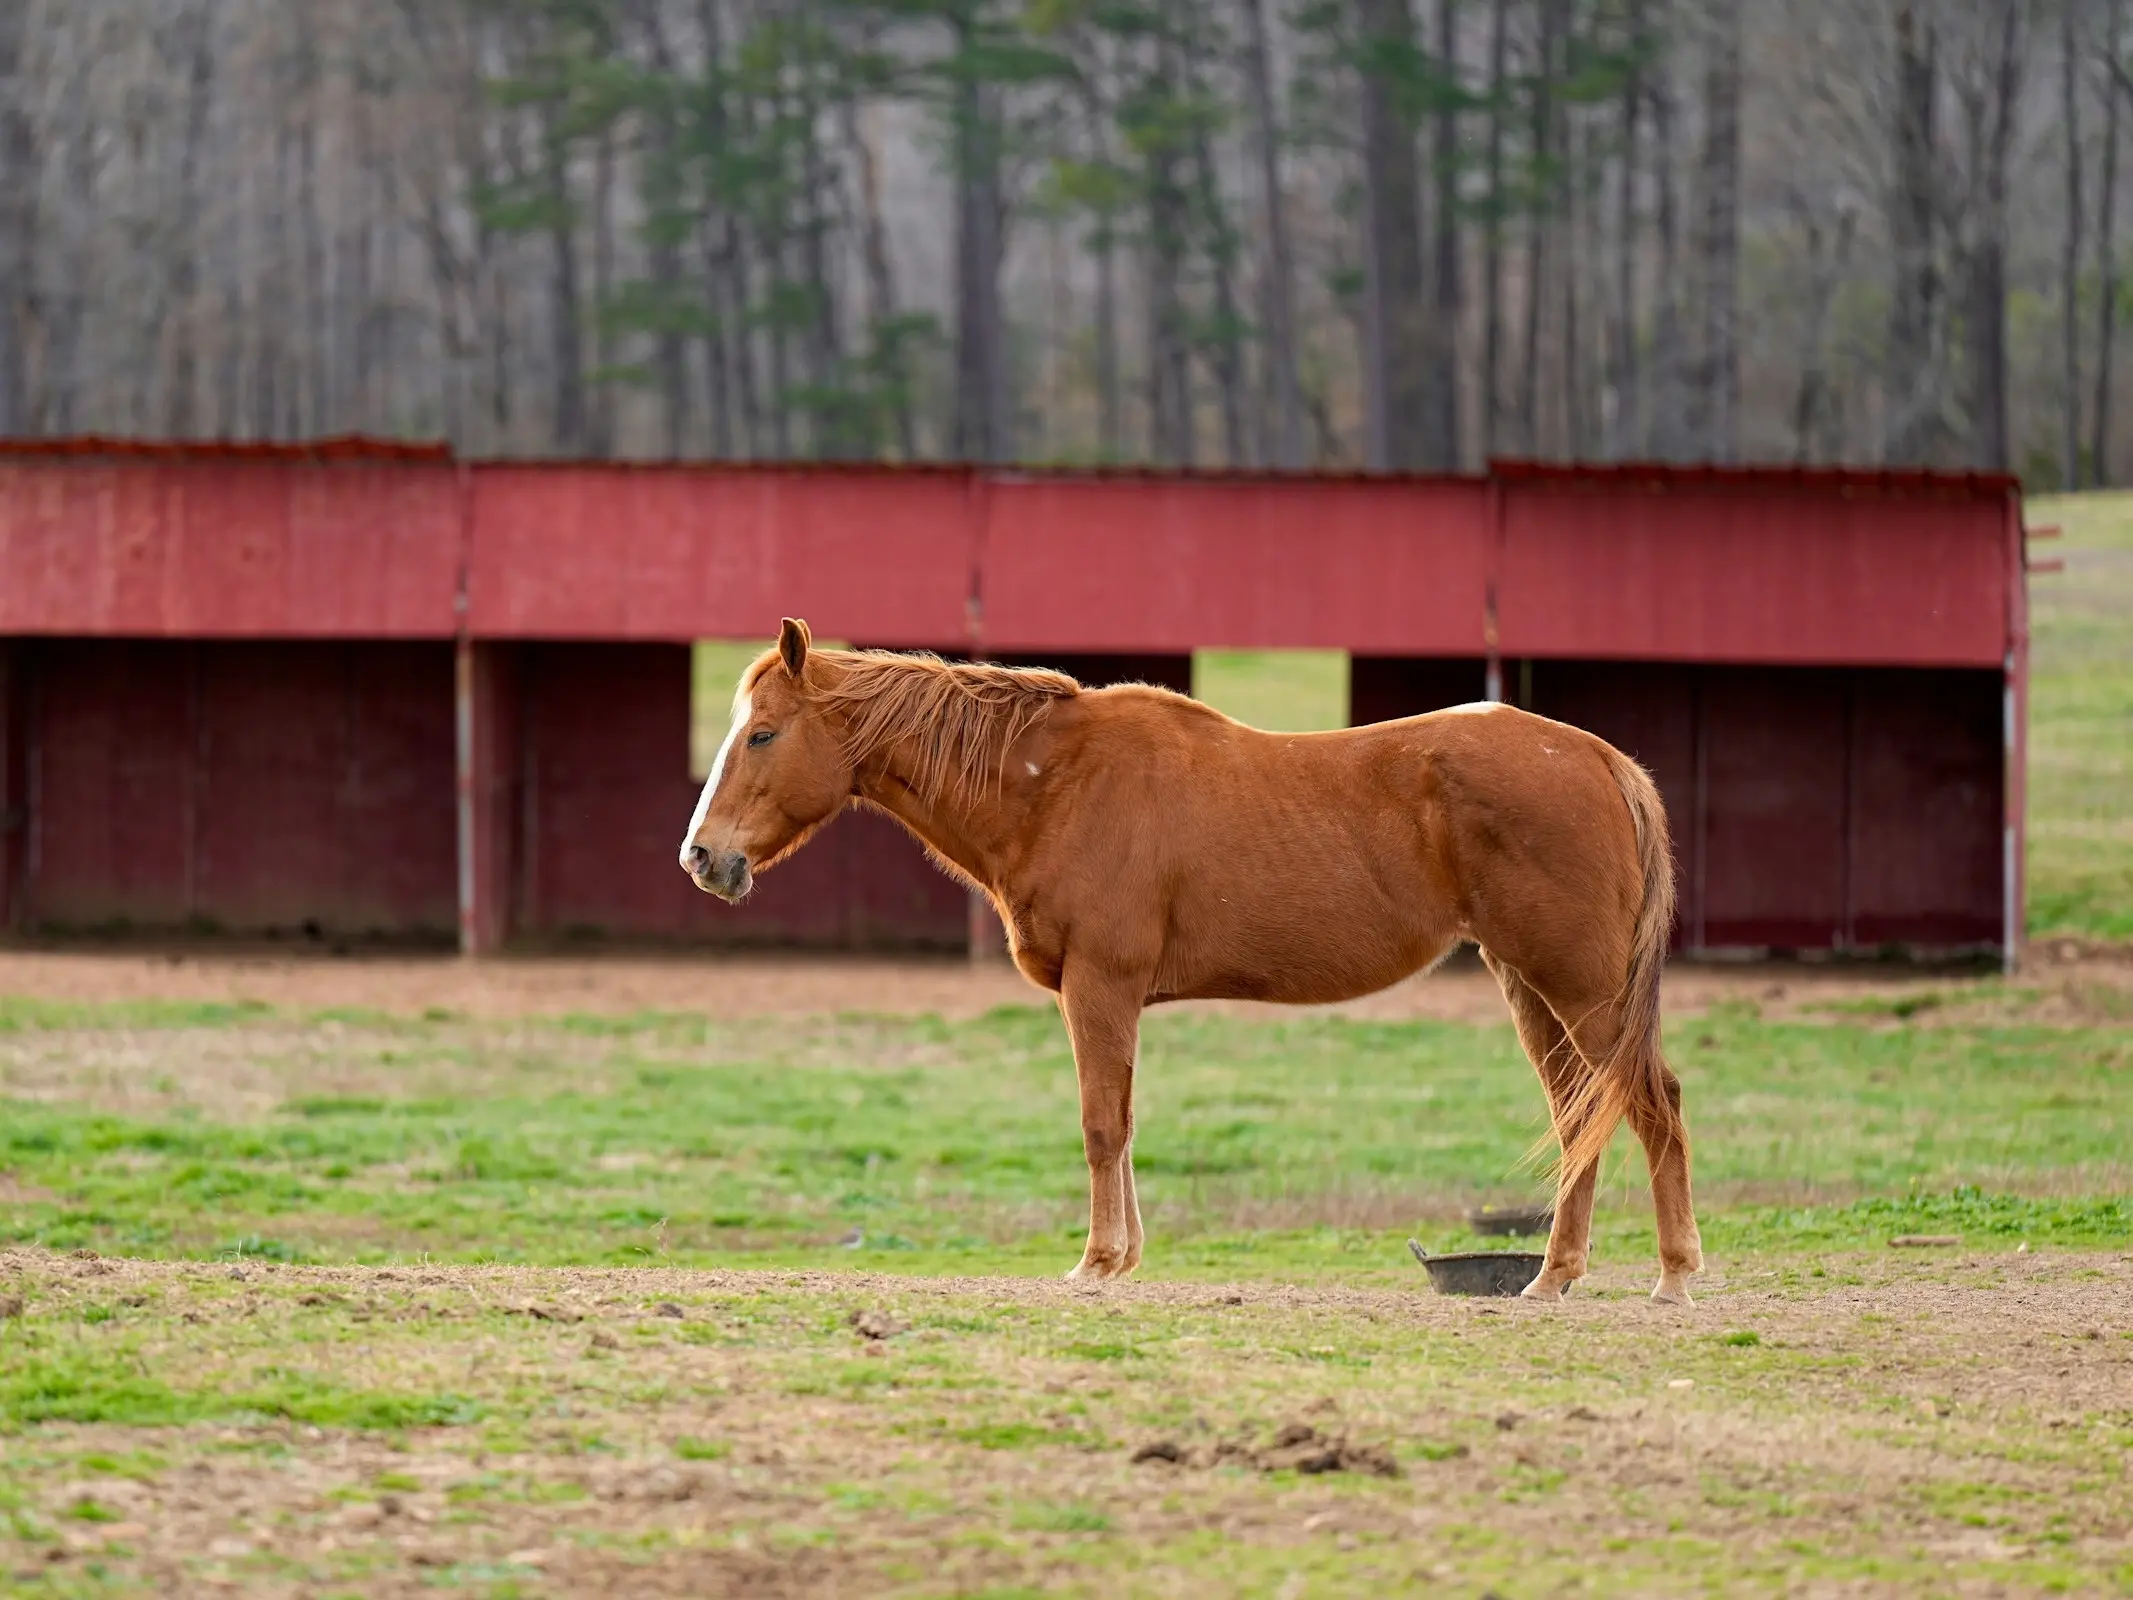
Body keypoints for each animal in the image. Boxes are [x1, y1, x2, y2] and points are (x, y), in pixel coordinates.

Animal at [682, 618, 1697, 1305]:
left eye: (762, 733)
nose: (702, 857)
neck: (1055, 785)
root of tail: (1599, 759)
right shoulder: (1112, 997)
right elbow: (1124, 1124)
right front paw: (1122, 1256)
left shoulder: (1099, 986)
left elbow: (1100, 1124)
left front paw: (1096, 1263)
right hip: (1529, 983)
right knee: (1579, 1115)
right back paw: (1553, 1277)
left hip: (1579, 986)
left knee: (1648, 1101)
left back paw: (1674, 1275)